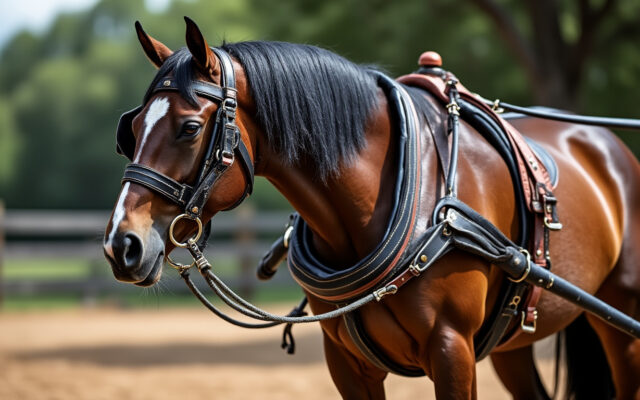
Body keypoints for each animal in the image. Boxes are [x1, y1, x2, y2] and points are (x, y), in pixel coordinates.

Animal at [103, 18, 640, 399]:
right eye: (132, 128)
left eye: (190, 128)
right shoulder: (347, 362)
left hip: (623, 322)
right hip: (511, 342)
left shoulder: (452, 351)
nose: (121, 245)